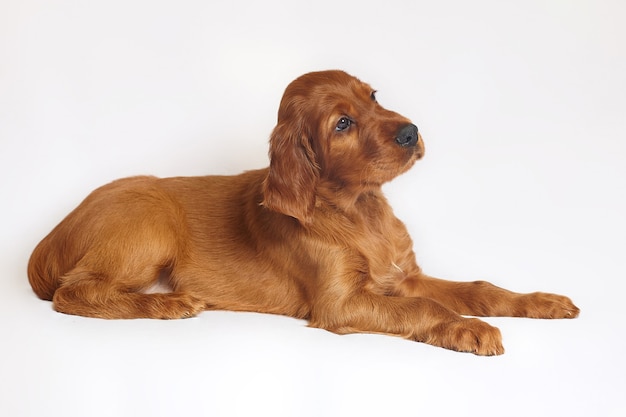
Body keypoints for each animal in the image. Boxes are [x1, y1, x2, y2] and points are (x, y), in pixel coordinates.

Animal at [28, 69, 576, 354]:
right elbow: (426, 308)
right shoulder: (341, 303)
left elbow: (479, 288)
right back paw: (168, 304)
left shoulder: (404, 276)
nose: (411, 131)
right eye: (342, 123)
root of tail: (50, 238)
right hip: (149, 224)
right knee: (73, 293)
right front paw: (471, 328)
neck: (360, 210)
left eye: (373, 95)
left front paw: (542, 301)